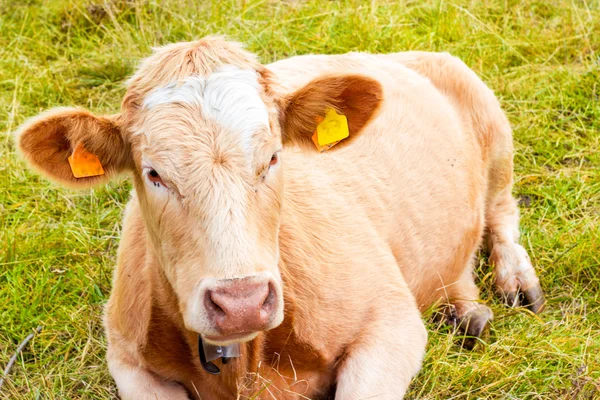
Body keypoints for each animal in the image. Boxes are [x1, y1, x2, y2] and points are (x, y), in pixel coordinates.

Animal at [17, 36, 544, 398]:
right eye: (153, 174)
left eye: (272, 157)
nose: (241, 302)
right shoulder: (127, 358)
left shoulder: (392, 323)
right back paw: (468, 310)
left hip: (493, 126)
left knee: (501, 211)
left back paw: (514, 283)